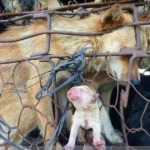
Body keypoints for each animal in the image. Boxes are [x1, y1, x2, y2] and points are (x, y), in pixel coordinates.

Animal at [0, 4, 148, 149]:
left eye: (140, 59)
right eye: (127, 54)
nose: (136, 82)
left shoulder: (62, 87)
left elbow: (72, 117)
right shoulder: (39, 88)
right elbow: (50, 129)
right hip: (26, 102)